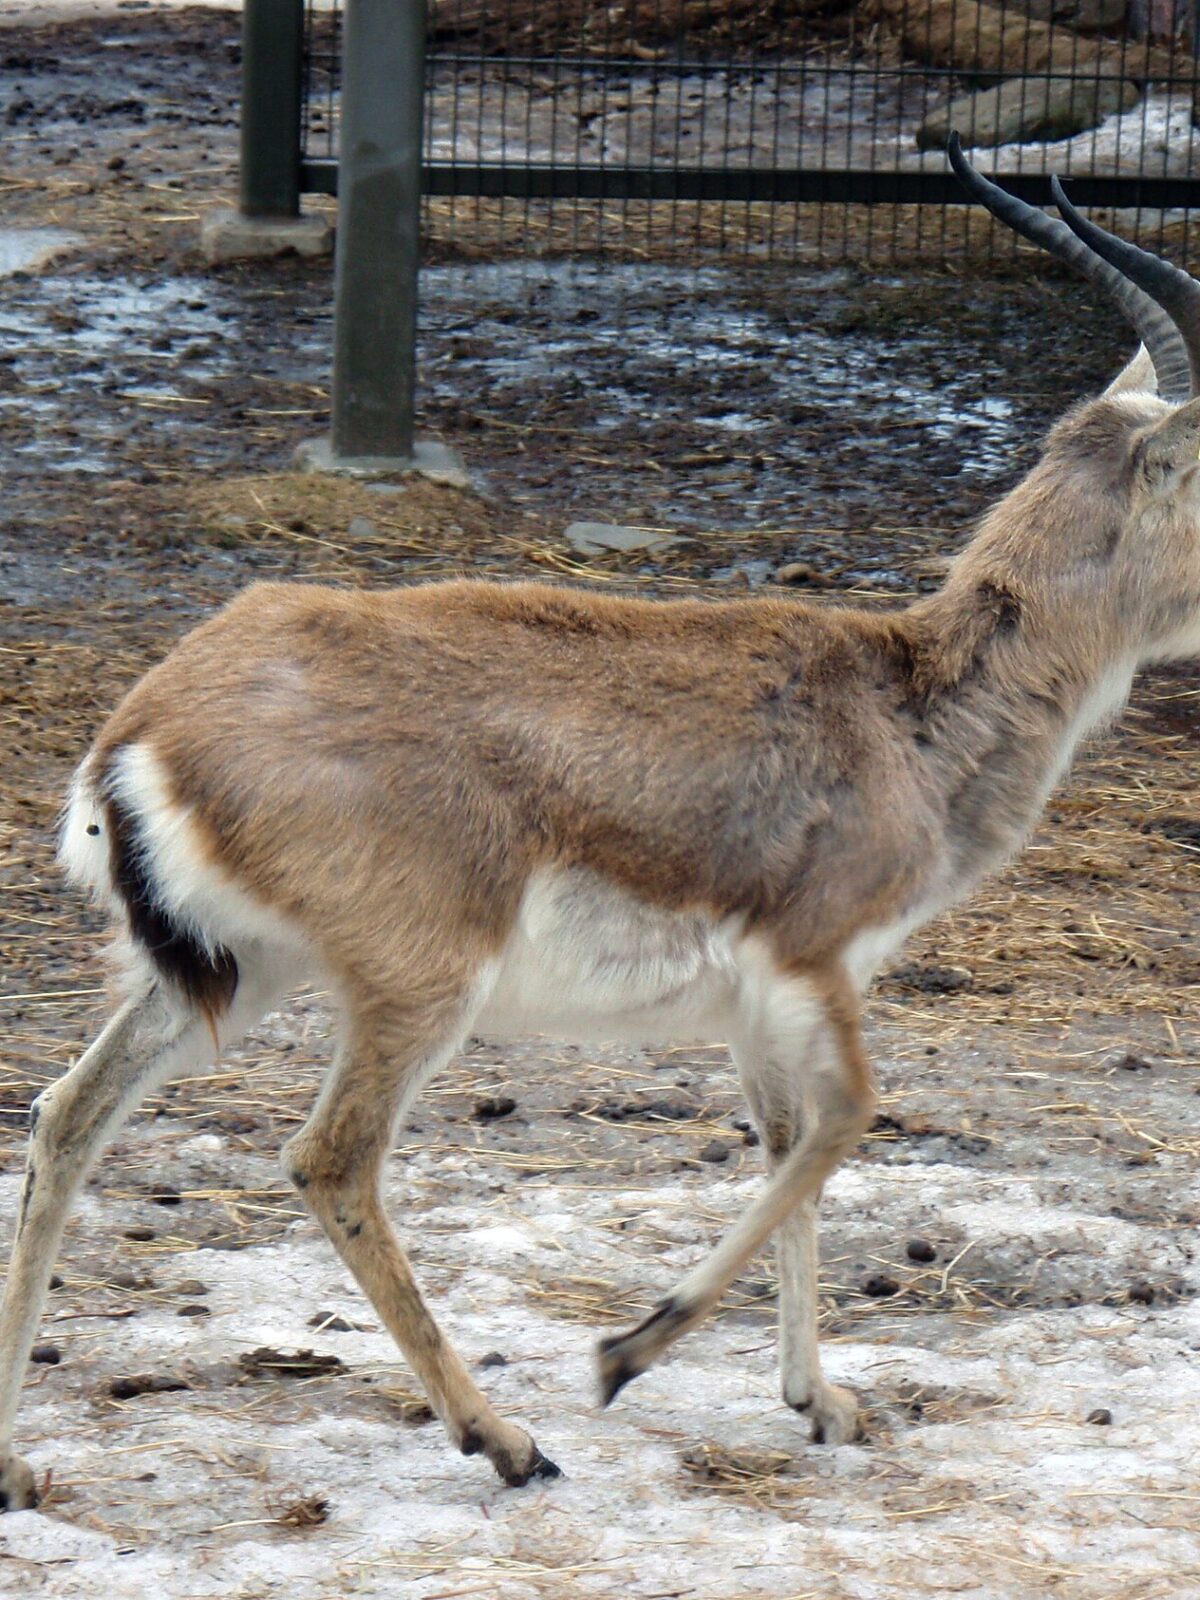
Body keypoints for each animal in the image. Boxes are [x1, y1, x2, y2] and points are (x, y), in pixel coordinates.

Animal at [1, 141, 1199, 1511]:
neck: (908, 709)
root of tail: (142, 727)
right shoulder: (814, 959)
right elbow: (848, 1119)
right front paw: (628, 1353)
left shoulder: (756, 1002)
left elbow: (785, 1142)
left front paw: (821, 1400)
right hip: (411, 989)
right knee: (328, 1159)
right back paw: (508, 1438)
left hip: (235, 971)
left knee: (65, 1117)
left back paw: (16, 1462)